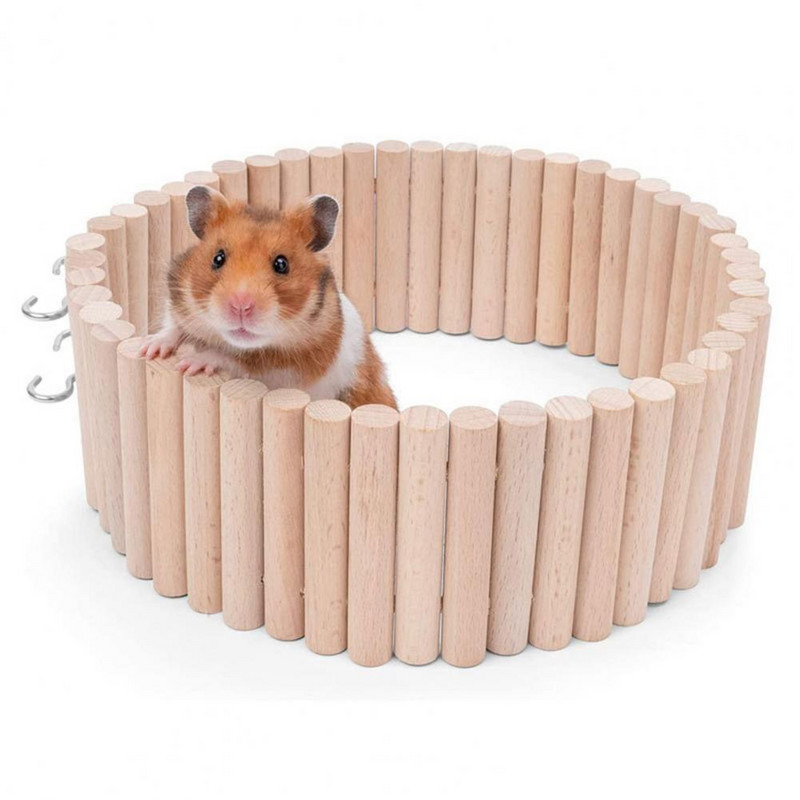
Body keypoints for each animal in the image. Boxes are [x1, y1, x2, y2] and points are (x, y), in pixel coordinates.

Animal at [140, 186, 396, 409]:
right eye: (218, 258)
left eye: (282, 264)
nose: (240, 306)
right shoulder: (179, 300)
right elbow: (172, 326)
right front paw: (150, 349)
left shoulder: (286, 371)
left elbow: (237, 360)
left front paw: (191, 364)